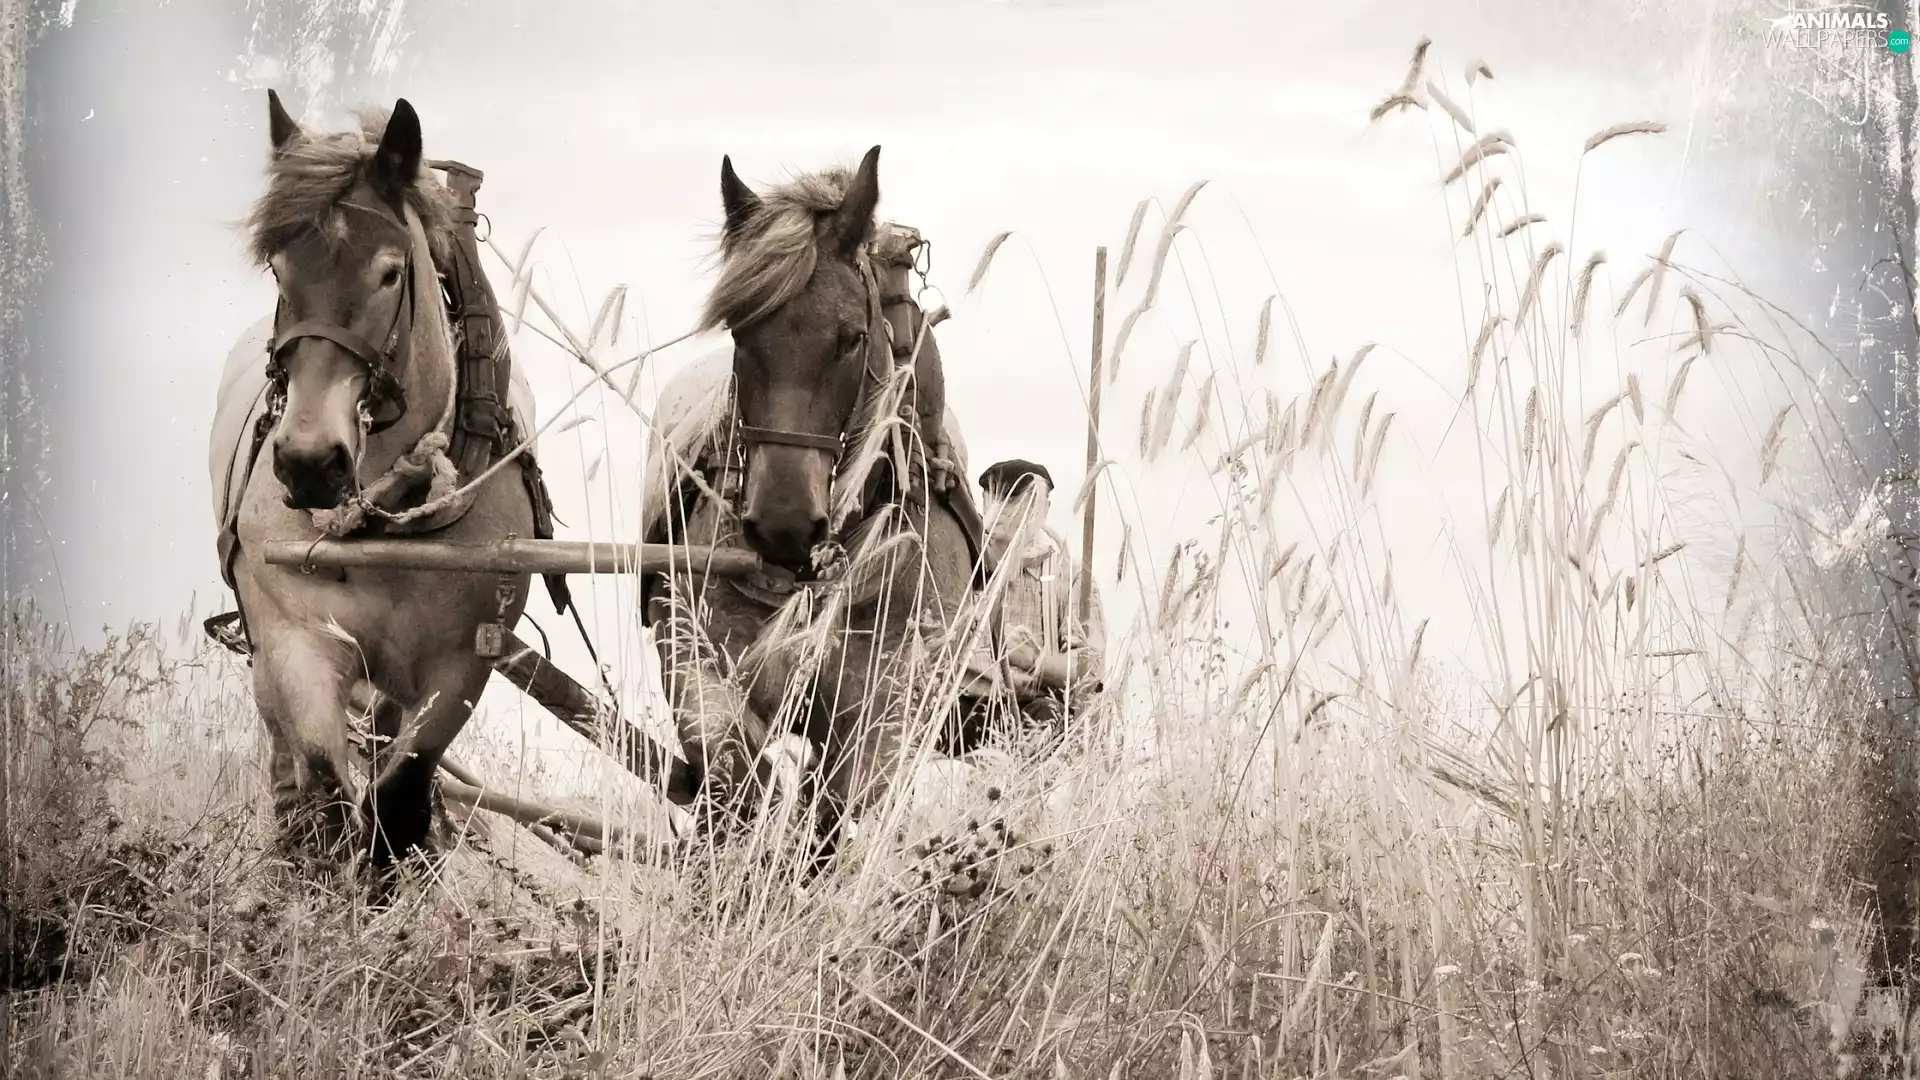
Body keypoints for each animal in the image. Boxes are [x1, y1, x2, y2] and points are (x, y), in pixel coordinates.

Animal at [210, 91, 564, 876]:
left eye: (390, 273)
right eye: (279, 270)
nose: (310, 462)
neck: (383, 519)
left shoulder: (459, 667)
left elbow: (396, 801)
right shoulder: (295, 638)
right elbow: (325, 778)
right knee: (286, 751)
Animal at [638, 147, 987, 863]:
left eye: (851, 338)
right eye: (740, 331)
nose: (783, 525)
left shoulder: (891, 705)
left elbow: (845, 800)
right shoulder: (691, 651)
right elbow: (731, 763)